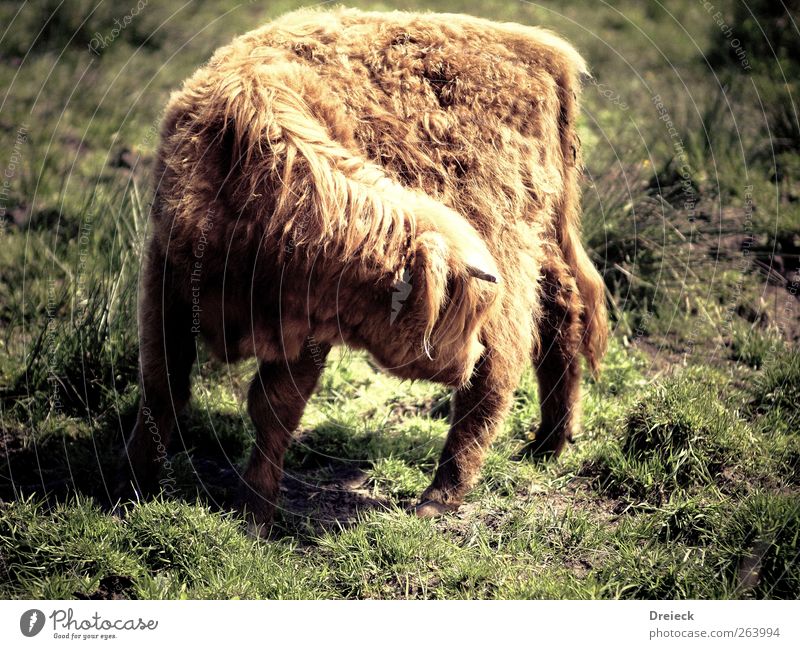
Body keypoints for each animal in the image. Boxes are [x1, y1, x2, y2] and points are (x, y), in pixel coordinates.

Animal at [122, 7, 608, 532]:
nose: (467, 357)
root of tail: (540, 48)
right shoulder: (165, 279)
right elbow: (164, 383)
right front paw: (135, 482)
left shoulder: (310, 335)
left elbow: (273, 409)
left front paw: (254, 510)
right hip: (535, 240)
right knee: (558, 314)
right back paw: (547, 444)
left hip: (509, 236)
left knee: (507, 359)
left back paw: (442, 494)